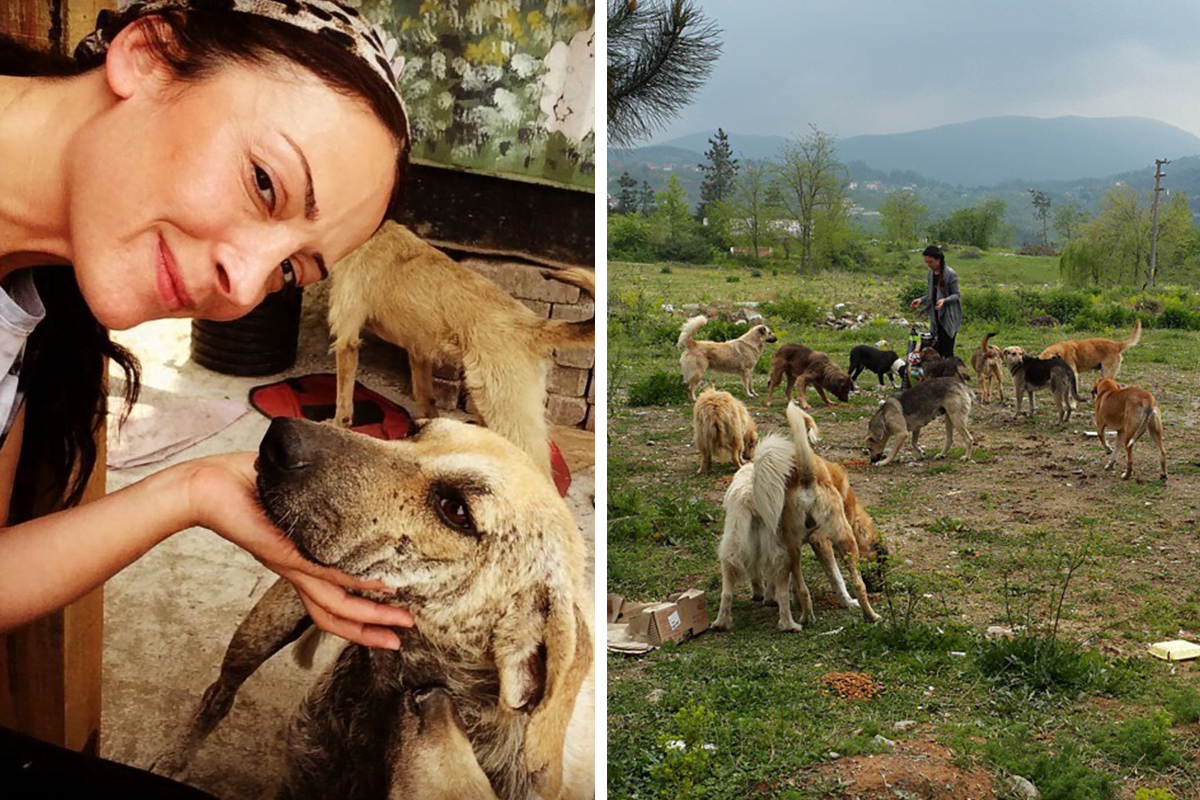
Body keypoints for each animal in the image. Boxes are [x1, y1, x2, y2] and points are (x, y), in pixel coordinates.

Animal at [328, 221, 595, 479]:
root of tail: (531, 325)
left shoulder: (347, 339)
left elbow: (343, 400)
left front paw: (336, 426)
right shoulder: (418, 351)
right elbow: (426, 399)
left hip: (504, 409)